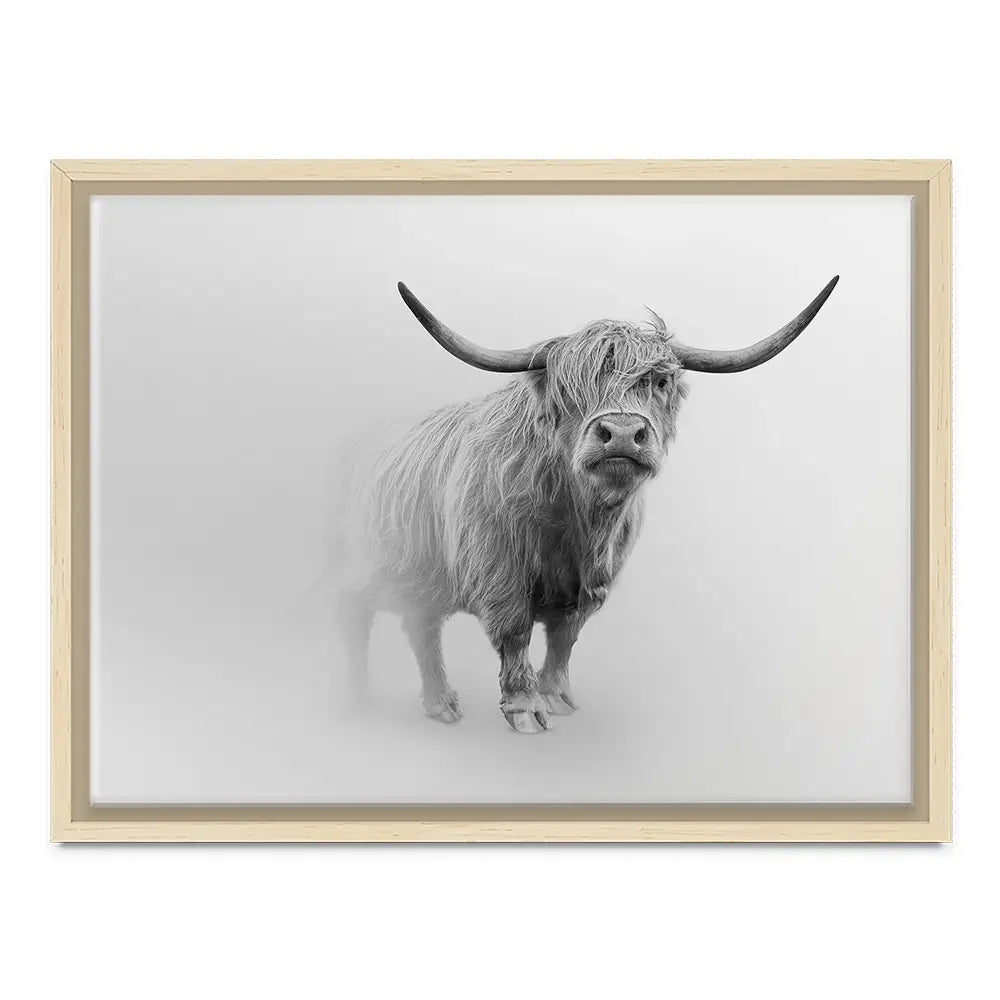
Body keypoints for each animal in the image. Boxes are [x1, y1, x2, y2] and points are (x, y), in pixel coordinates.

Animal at [332, 276, 839, 733]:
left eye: (659, 381)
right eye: (568, 389)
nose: (622, 433)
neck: (576, 518)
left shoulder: (592, 582)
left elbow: (564, 637)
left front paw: (557, 697)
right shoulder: (499, 571)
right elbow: (515, 633)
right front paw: (525, 708)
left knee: (421, 627)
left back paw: (440, 705)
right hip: (361, 566)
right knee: (355, 616)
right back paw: (356, 696)